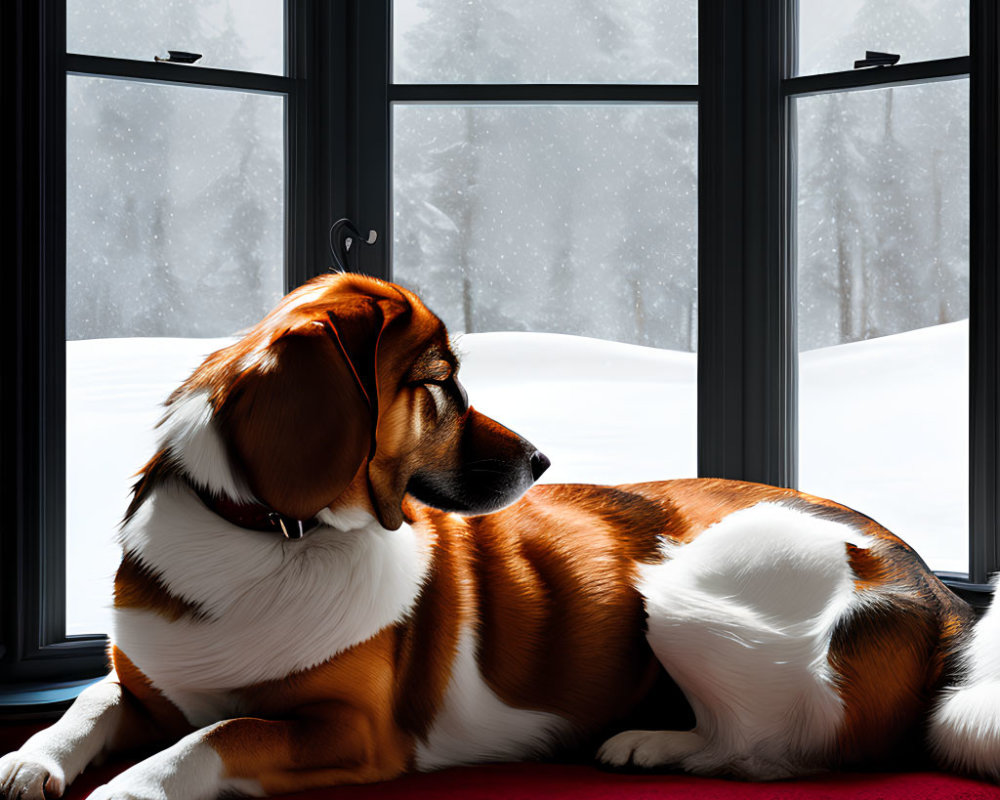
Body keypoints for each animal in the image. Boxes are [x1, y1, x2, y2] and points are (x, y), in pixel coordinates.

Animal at [1, 272, 1000, 796]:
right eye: (438, 384)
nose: (543, 458)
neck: (271, 533)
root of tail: (933, 588)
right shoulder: (143, 687)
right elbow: (89, 706)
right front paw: (31, 759)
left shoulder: (355, 731)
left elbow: (216, 733)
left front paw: (131, 784)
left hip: (677, 595)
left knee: (769, 752)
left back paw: (651, 745)